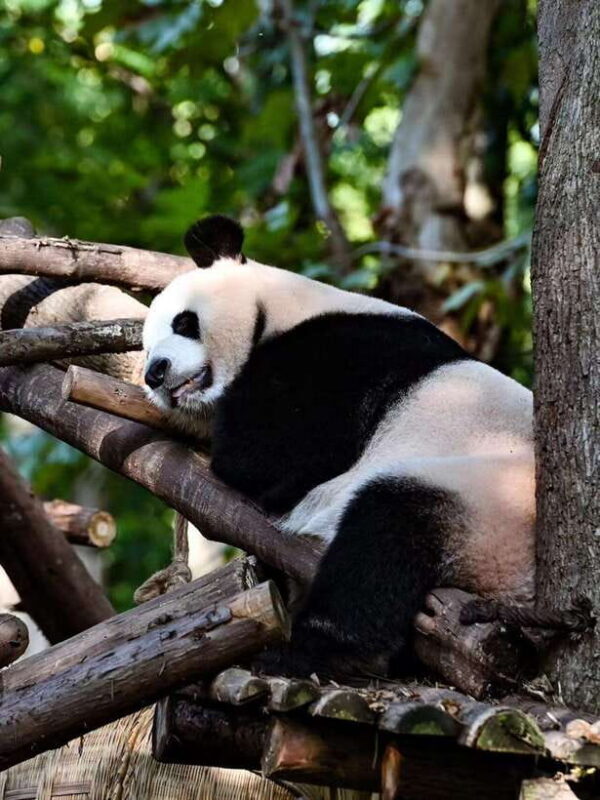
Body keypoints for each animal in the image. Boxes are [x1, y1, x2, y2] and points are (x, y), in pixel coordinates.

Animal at [143, 214, 535, 676]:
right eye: (144, 348)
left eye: (184, 323)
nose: (155, 372)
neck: (286, 304)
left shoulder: (339, 356)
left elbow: (267, 457)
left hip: (486, 500)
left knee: (381, 536)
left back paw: (313, 649)